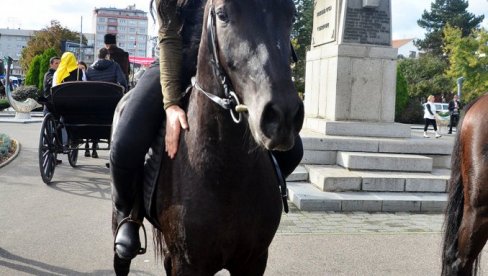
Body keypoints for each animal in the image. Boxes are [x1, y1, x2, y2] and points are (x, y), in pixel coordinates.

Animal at [112, 0, 304, 274]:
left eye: (291, 14)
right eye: (222, 14)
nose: (282, 116)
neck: (227, 175)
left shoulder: (254, 260)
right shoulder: (188, 264)